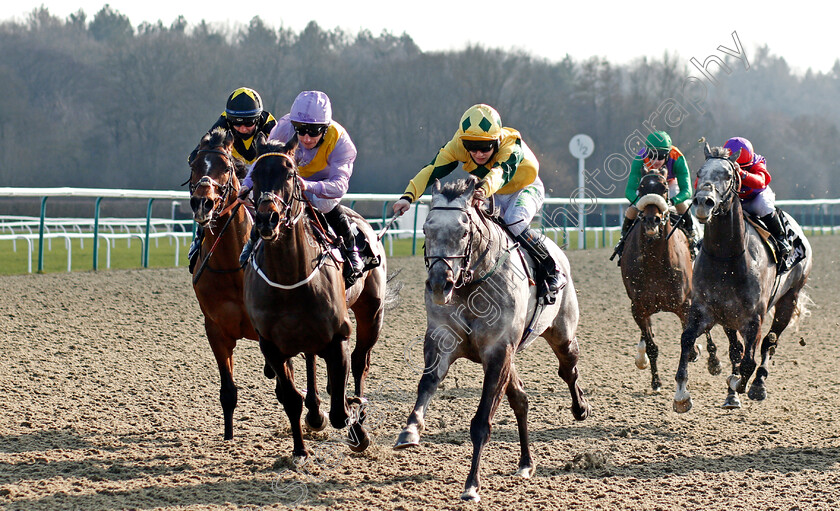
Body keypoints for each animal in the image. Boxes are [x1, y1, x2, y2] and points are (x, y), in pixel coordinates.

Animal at [241, 136, 388, 460]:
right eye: (254, 175)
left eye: (290, 174)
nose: (267, 219)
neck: (289, 279)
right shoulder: (271, 346)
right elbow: (291, 398)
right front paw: (299, 449)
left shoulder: (338, 337)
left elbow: (341, 412)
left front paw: (354, 421)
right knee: (310, 361)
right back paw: (315, 411)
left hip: (372, 313)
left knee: (360, 362)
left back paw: (356, 411)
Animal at [394, 178, 592, 502]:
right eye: (425, 229)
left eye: (463, 231)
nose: (439, 284)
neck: (471, 284)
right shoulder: (442, 338)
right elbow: (427, 383)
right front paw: (410, 431)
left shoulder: (498, 351)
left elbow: (482, 421)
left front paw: (472, 484)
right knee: (521, 399)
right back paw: (525, 463)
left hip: (561, 333)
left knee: (568, 369)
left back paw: (580, 408)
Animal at [616, 171, 720, 392]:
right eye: (641, 188)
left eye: (664, 188)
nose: (651, 221)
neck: (655, 262)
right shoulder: (638, 307)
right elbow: (652, 345)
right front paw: (656, 381)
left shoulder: (684, 304)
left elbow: (691, 339)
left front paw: (699, 354)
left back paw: (713, 359)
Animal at [672, 143, 812, 412]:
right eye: (699, 172)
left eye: (728, 174)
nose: (703, 202)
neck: (725, 258)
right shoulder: (705, 310)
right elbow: (687, 340)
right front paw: (682, 395)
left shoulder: (753, 318)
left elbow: (749, 361)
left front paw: (739, 383)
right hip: (729, 318)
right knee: (736, 349)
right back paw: (732, 394)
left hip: (789, 299)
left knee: (769, 341)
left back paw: (757, 385)